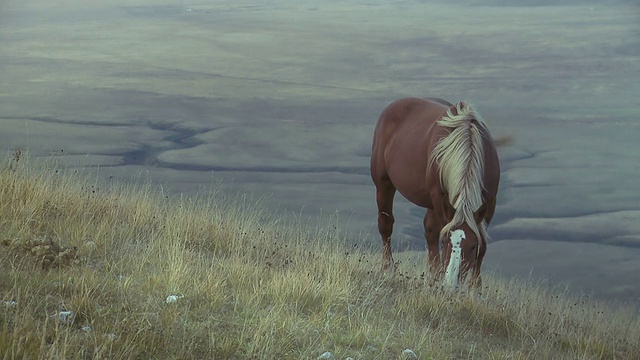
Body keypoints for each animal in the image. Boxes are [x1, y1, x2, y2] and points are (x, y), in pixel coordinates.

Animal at [370, 97, 500, 288]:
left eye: (472, 246)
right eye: (445, 241)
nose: (451, 284)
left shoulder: (489, 203)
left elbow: (482, 243)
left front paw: (476, 287)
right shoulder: (439, 198)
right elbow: (437, 233)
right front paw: (440, 275)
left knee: (428, 230)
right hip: (384, 183)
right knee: (386, 224)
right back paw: (388, 268)